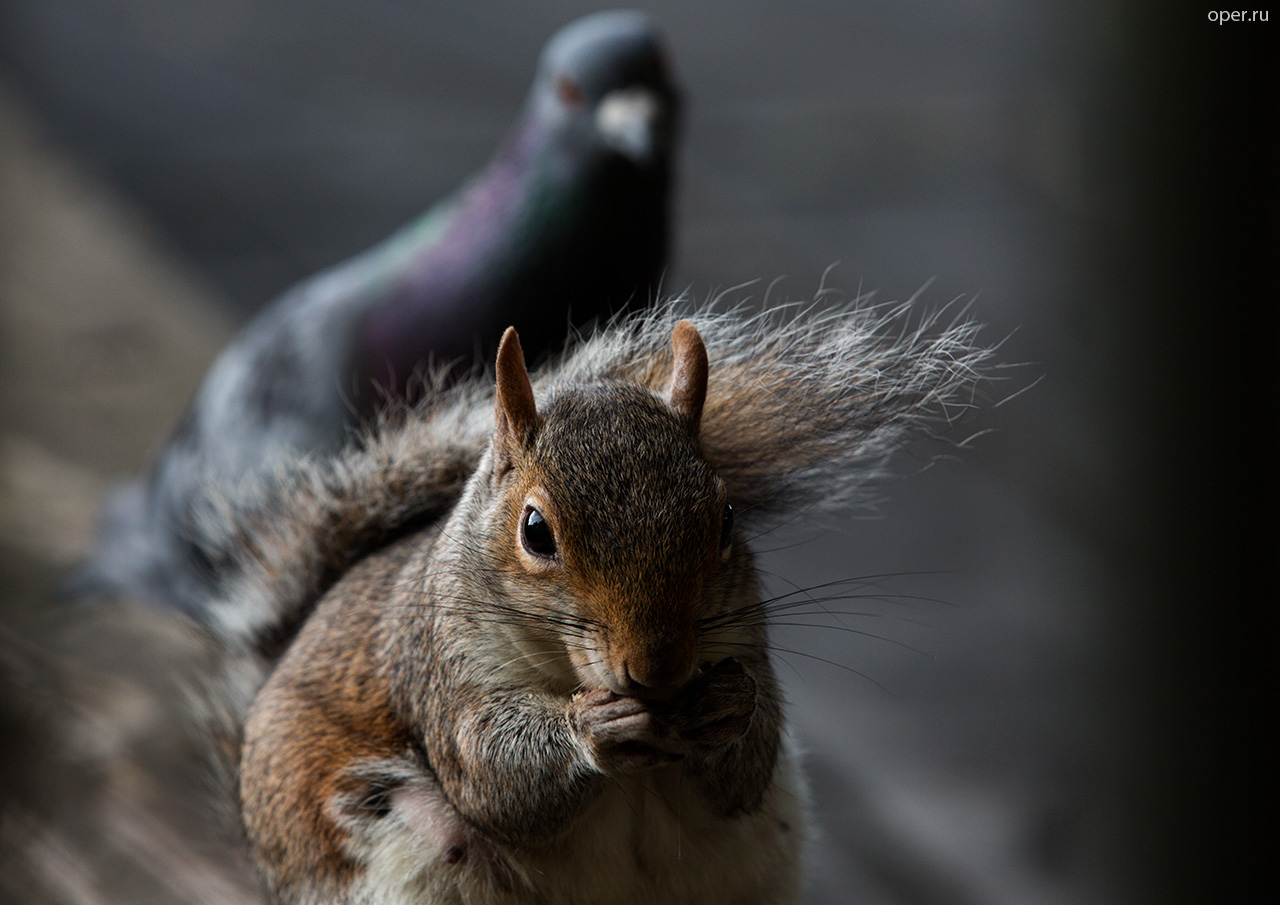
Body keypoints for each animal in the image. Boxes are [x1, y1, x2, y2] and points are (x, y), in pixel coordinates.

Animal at [188, 302, 989, 904]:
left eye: (726, 518)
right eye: (535, 530)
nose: (659, 671)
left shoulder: (745, 637)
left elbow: (747, 767)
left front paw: (729, 707)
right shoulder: (442, 665)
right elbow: (491, 773)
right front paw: (593, 726)